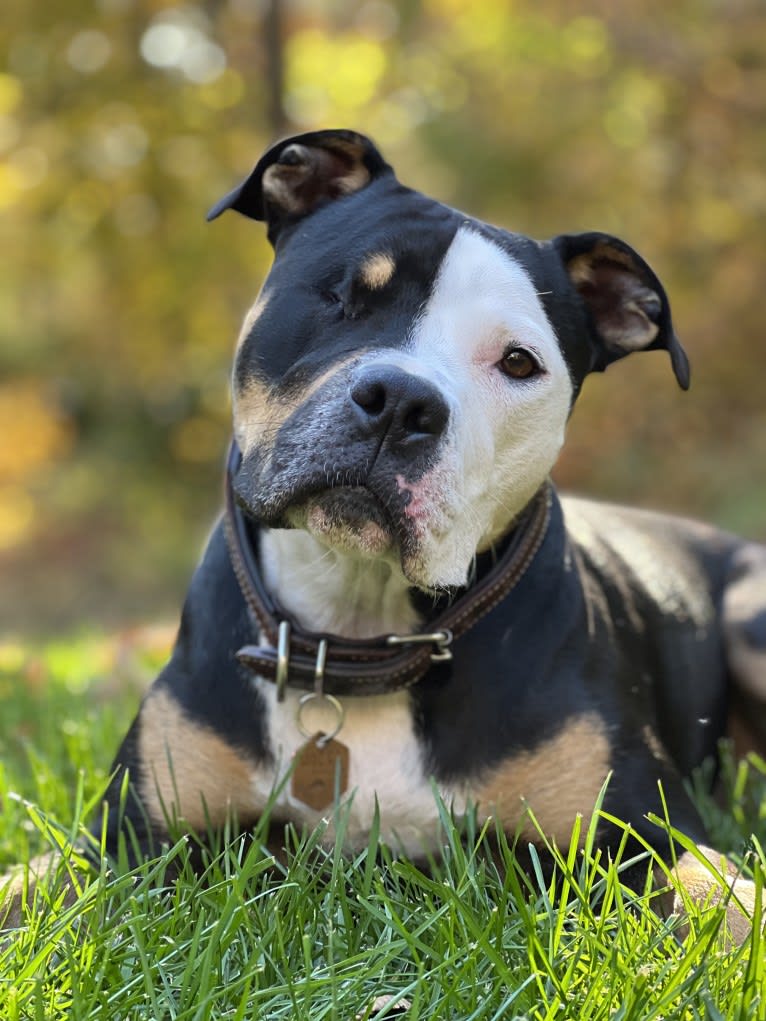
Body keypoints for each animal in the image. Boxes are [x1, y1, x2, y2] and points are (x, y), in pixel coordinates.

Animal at [3, 127, 763, 939]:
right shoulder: (124, 836)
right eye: (340, 295)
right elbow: (32, 880)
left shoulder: (645, 833)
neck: (357, 625)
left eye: (518, 362)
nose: (401, 401)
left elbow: (725, 903)